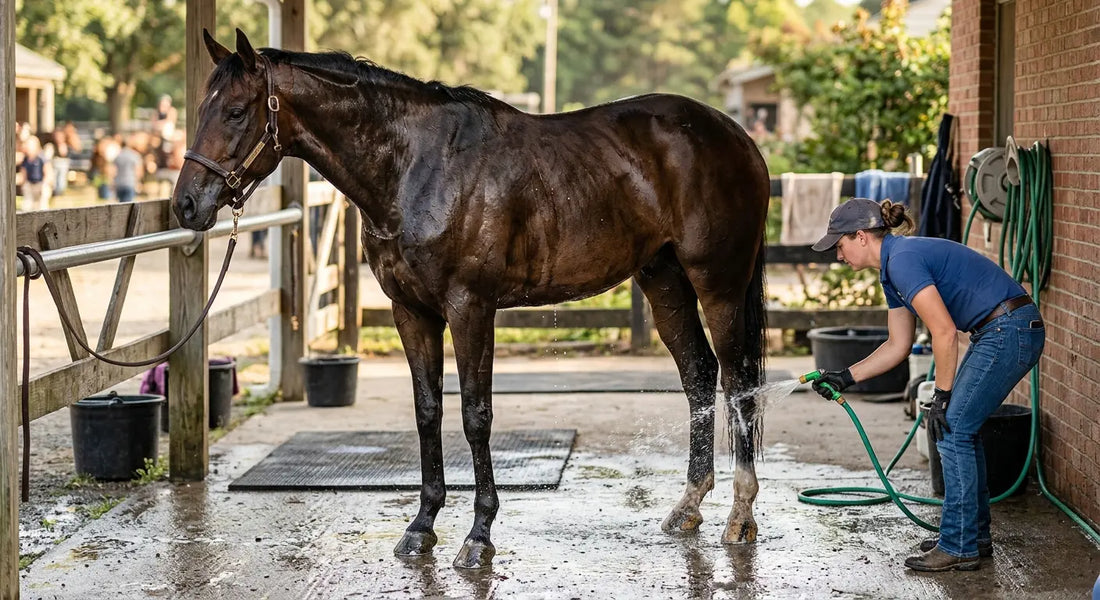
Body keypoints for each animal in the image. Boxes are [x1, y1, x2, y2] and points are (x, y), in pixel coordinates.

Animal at [176, 29, 770, 570]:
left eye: (235, 112)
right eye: (202, 108)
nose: (185, 205)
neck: (417, 167)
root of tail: (737, 136)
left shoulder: (470, 309)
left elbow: (475, 416)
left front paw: (478, 535)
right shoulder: (410, 312)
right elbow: (428, 411)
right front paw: (421, 527)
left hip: (718, 284)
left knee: (738, 383)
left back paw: (740, 517)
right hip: (663, 279)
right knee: (698, 375)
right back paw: (687, 507)